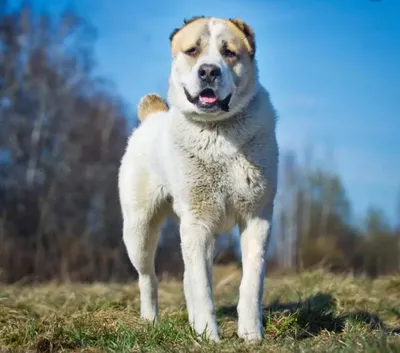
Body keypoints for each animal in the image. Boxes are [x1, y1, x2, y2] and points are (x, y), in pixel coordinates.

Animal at [119, 15, 278, 340]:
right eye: (192, 50)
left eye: (229, 52)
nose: (208, 70)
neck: (218, 131)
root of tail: (152, 117)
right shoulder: (198, 221)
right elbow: (202, 286)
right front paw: (208, 336)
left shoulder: (257, 217)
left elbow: (252, 279)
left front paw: (250, 333)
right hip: (139, 230)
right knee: (148, 277)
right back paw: (150, 320)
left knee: (185, 276)